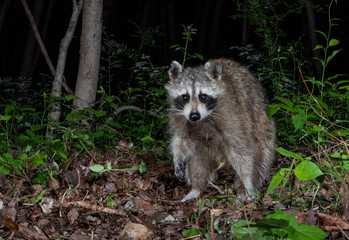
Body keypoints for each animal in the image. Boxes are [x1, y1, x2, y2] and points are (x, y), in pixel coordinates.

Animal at [165, 58, 274, 202]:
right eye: (185, 97)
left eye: (203, 96)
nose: (194, 116)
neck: (203, 119)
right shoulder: (180, 117)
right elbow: (182, 139)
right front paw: (177, 156)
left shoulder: (233, 116)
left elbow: (240, 149)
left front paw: (247, 182)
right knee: (198, 159)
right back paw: (196, 187)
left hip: (262, 125)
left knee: (260, 155)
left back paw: (243, 189)